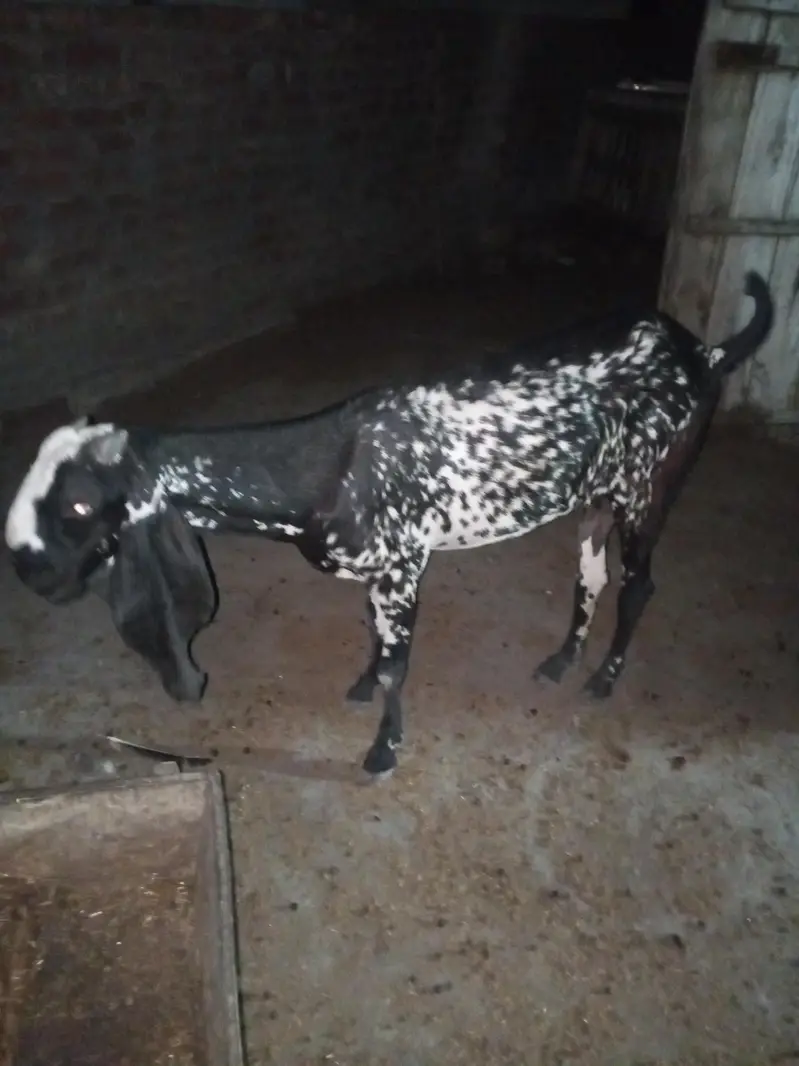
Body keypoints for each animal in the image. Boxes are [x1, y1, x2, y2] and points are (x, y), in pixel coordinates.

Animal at [4, 272, 774, 776]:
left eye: (77, 506)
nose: (25, 566)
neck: (329, 465)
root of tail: (701, 353)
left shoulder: (403, 566)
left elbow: (400, 661)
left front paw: (382, 748)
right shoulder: (376, 569)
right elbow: (374, 639)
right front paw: (361, 684)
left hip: (649, 490)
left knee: (638, 586)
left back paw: (604, 678)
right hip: (594, 499)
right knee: (592, 572)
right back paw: (561, 660)